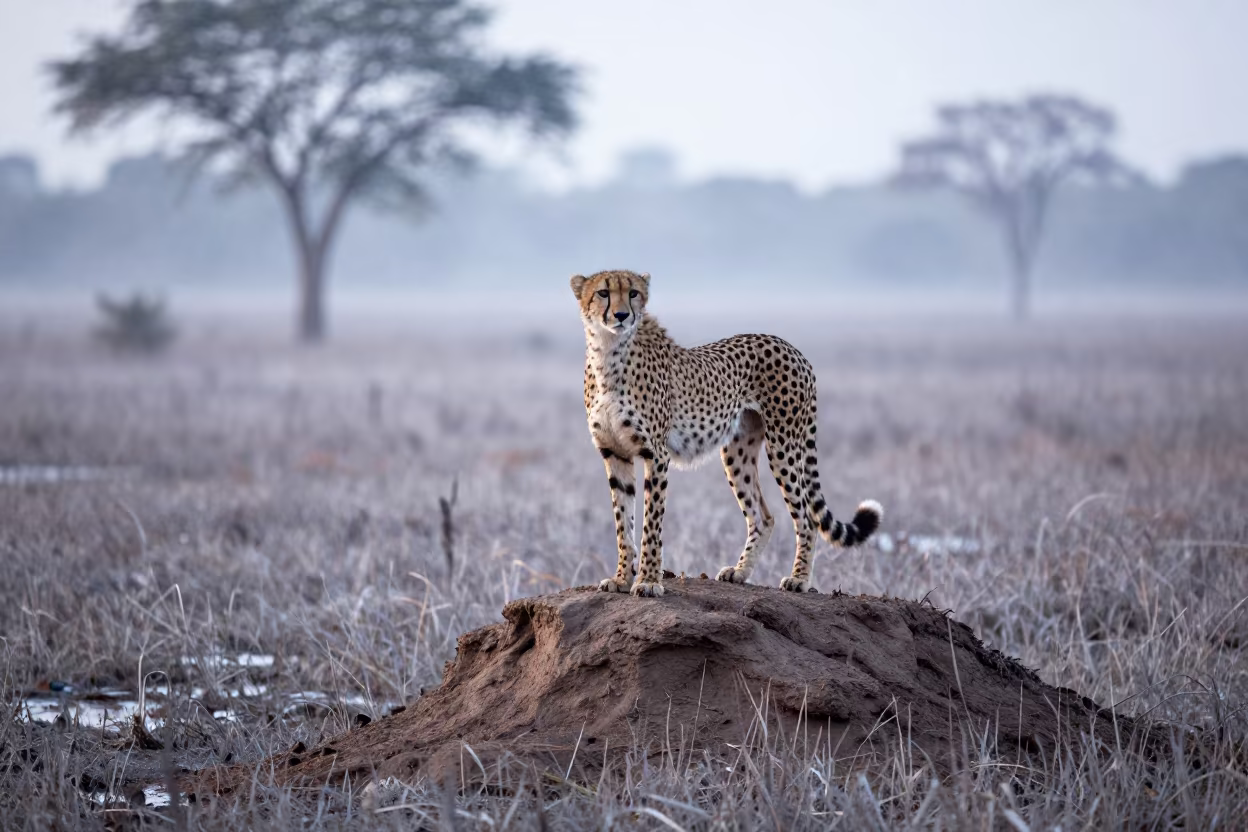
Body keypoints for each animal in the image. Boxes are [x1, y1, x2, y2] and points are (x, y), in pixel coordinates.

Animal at [572, 268, 883, 598]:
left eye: (633, 293)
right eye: (603, 293)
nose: (621, 315)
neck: (608, 351)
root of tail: (794, 350)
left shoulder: (655, 454)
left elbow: (651, 524)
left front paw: (648, 580)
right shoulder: (614, 454)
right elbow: (623, 524)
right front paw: (621, 578)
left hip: (783, 444)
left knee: (806, 517)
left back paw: (799, 579)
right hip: (737, 451)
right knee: (763, 517)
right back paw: (740, 571)